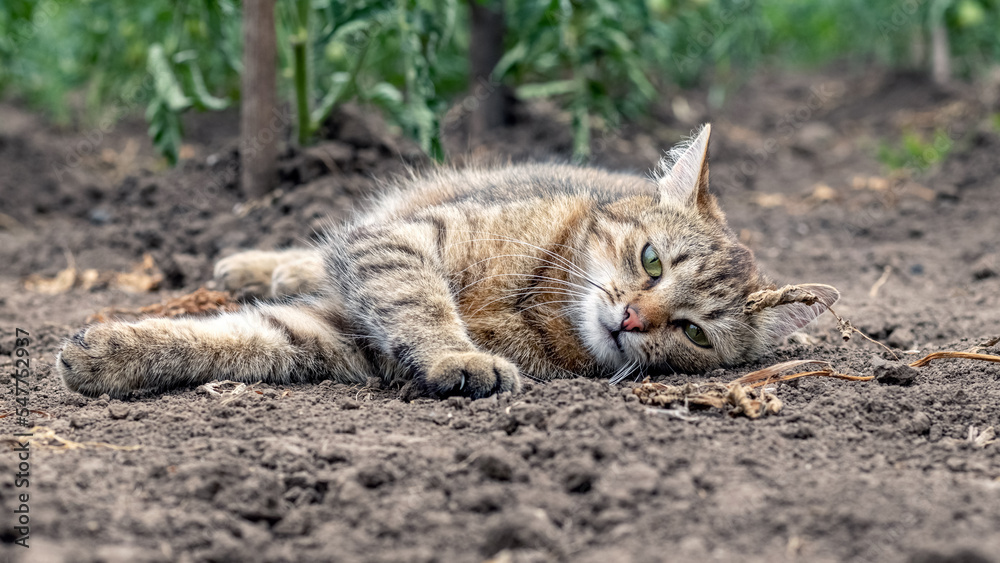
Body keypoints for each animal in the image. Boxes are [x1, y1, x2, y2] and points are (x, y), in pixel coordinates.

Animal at [54, 125, 836, 400]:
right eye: (650, 261)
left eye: (695, 333)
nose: (636, 319)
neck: (539, 303)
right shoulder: (405, 245)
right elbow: (417, 299)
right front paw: (456, 353)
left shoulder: (331, 337)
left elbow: (238, 340)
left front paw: (116, 353)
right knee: (336, 240)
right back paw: (261, 263)